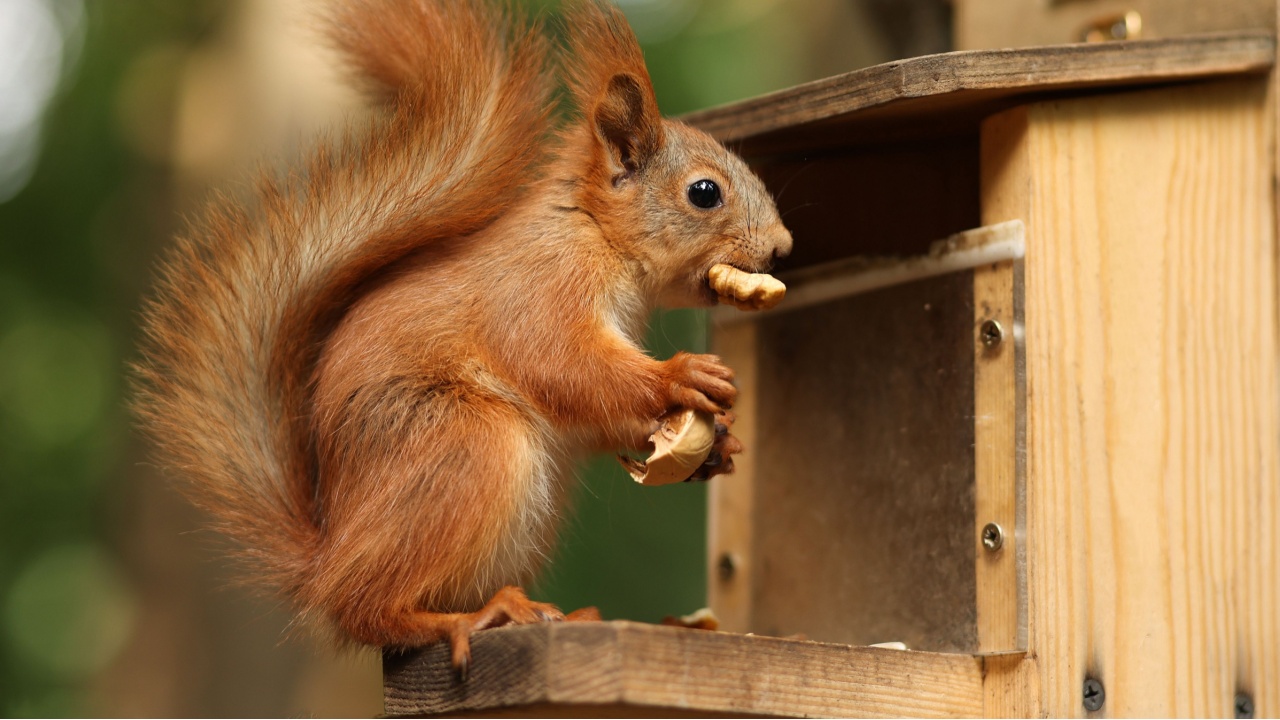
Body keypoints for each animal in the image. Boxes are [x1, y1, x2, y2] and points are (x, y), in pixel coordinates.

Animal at [134, 0, 792, 673]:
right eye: (704, 193)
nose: (783, 247)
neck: (594, 233)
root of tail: (324, 555)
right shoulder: (541, 291)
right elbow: (564, 365)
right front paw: (680, 375)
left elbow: (598, 413)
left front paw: (718, 447)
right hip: (466, 446)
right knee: (364, 607)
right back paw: (475, 616)